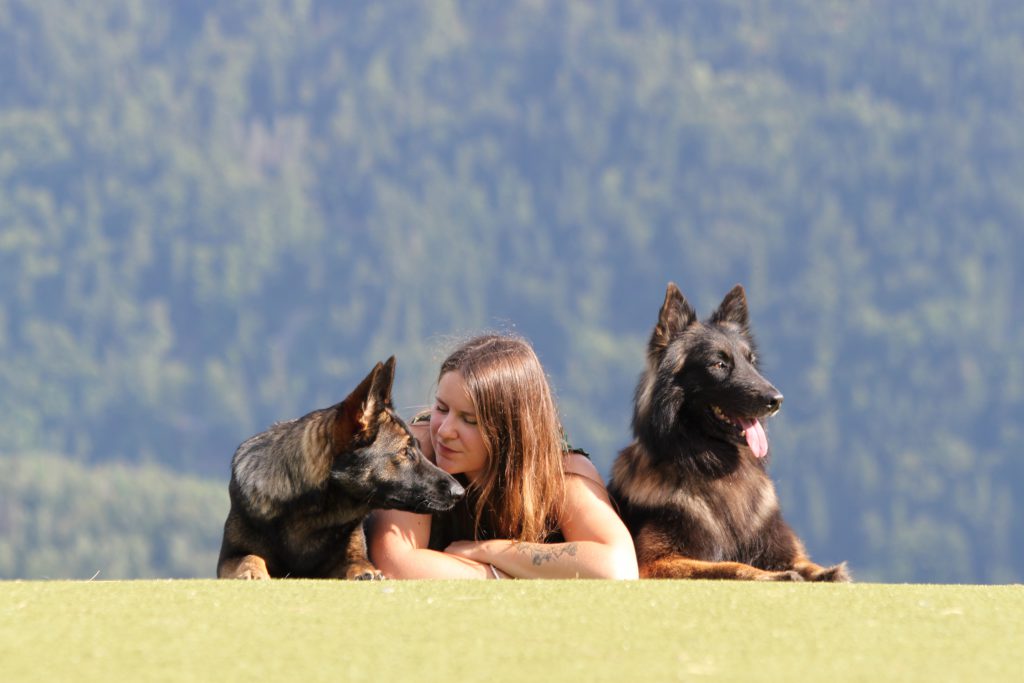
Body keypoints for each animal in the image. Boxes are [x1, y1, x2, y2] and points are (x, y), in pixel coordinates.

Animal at [222, 356, 468, 581]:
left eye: (417, 448)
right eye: (405, 451)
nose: (460, 493)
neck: (312, 514)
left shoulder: (353, 555)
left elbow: (358, 563)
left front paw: (367, 574)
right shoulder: (230, 557)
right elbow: (249, 557)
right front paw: (252, 571)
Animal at [606, 282, 847, 581]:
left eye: (750, 361)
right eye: (719, 364)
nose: (776, 400)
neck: (717, 470)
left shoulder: (781, 548)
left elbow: (809, 564)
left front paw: (827, 573)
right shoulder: (655, 562)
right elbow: (730, 565)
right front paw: (773, 576)